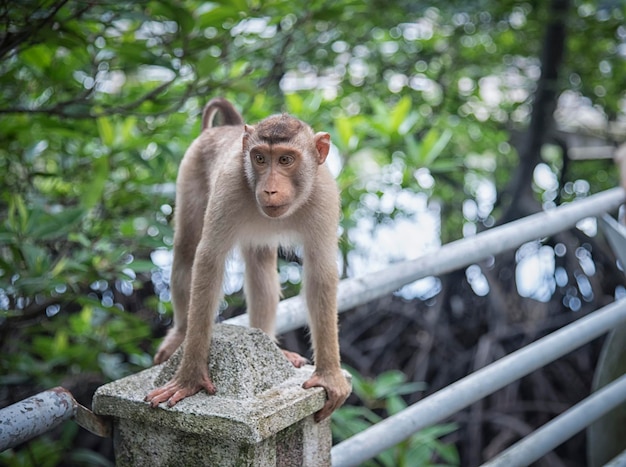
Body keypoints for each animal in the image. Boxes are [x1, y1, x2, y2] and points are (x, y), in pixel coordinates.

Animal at [146, 97, 352, 422]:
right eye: (259, 158)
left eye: (285, 160)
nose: (269, 188)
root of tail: (224, 128)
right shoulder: (229, 186)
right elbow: (208, 261)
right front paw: (190, 377)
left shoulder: (324, 195)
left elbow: (321, 271)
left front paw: (330, 375)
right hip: (191, 172)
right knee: (187, 250)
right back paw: (179, 334)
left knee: (260, 264)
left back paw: (268, 340)